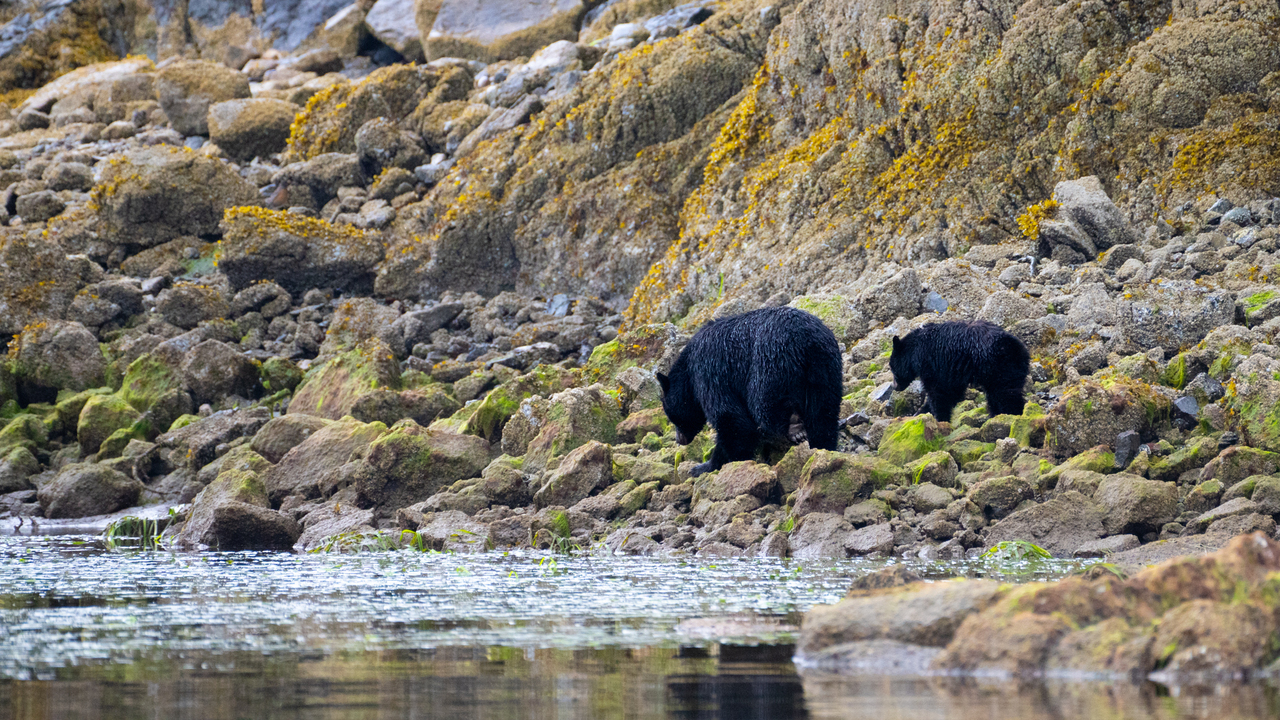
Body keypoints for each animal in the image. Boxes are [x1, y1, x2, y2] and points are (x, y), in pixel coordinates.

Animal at [656, 306, 843, 477]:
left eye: (670, 415)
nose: (678, 439)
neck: (689, 371)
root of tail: (805, 338)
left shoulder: (710, 372)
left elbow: (730, 417)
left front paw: (709, 465)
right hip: (825, 369)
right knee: (823, 414)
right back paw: (823, 446)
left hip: (769, 363)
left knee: (763, 404)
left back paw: (795, 427)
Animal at [889, 320, 1030, 423]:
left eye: (892, 368)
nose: (894, 386)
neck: (915, 352)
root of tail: (1020, 349)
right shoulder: (952, 370)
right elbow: (952, 391)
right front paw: (921, 412)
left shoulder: (933, 364)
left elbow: (938, 392)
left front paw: (939, 417)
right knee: (997, 394)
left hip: (1000, 368)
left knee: (1005, 394)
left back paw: (1010, 415)